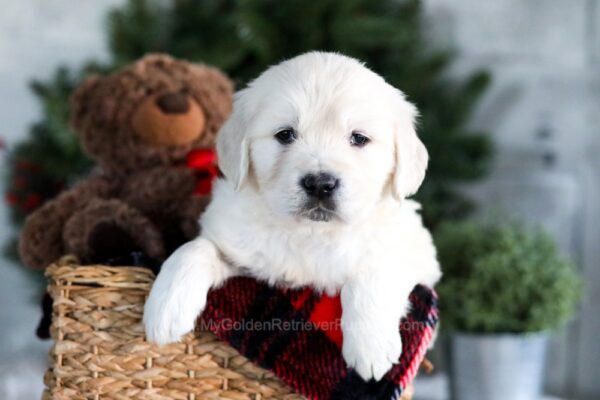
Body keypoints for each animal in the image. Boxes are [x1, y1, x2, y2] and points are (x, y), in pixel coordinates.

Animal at [141, 51, 440, 380]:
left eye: (359, 138)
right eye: (285, 135)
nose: (320, 184)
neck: (310, 232)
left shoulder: (416, 250)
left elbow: (374, 270)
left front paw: (371, 347)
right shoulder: (242, 256)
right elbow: (194, 249)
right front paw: (165, 308)